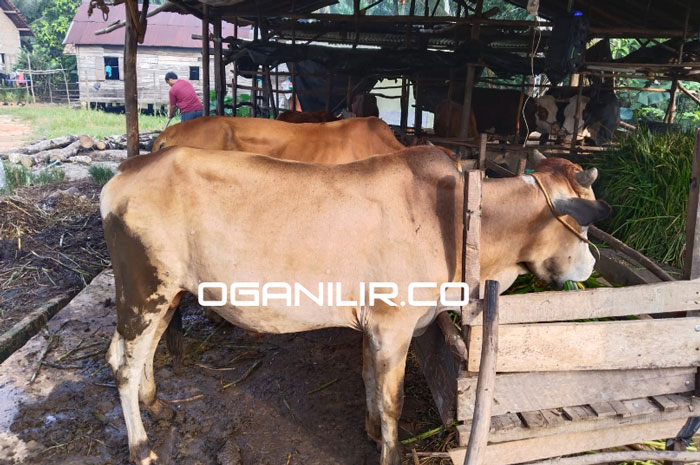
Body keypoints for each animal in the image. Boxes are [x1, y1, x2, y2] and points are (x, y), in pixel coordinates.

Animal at [101, 148, 608, 464]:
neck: (461, 218)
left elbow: (369, 381)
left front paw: (370, 431)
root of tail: (128, 169)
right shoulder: (393, 323)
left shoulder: (375, 325)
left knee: (134, 354)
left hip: (166, 292)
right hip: (145, 289)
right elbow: (393, 400)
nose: (591, 263)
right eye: (583, 222)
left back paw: (157, 405)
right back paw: (141, 447)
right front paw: (391, 452)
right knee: (122, 366)